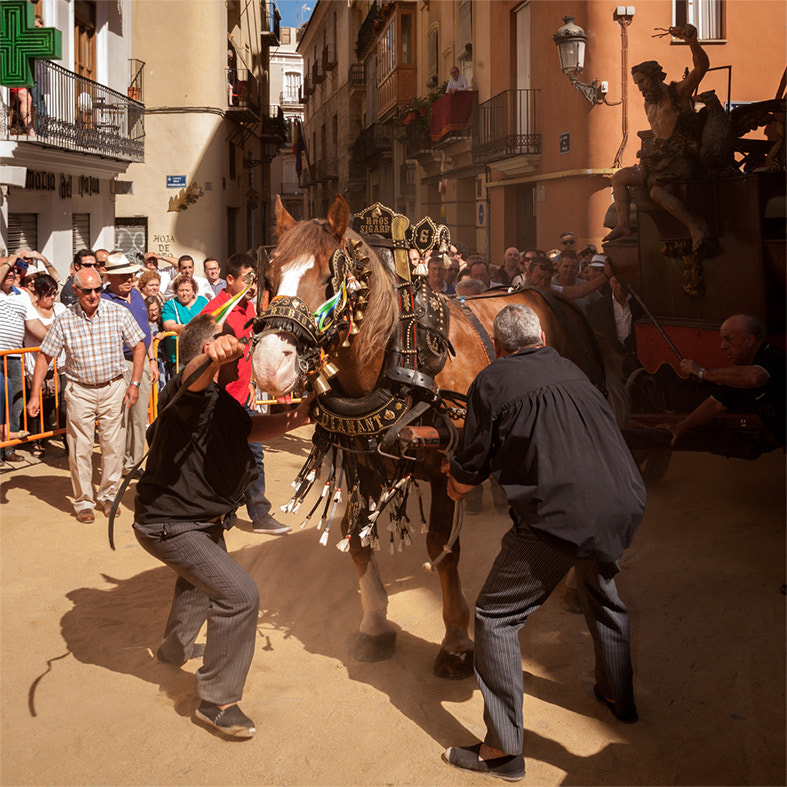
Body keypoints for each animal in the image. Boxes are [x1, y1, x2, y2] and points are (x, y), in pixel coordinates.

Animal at [252, 195, 608, 676]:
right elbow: (354, 532)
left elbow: (441, 546)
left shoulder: (445, 466)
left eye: (330, 281)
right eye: (269, 278)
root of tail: (552, 295)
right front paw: (374, 624)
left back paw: (573, 587)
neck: (401, 351)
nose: (269, 365)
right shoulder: (363, 459)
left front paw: (456, 639)